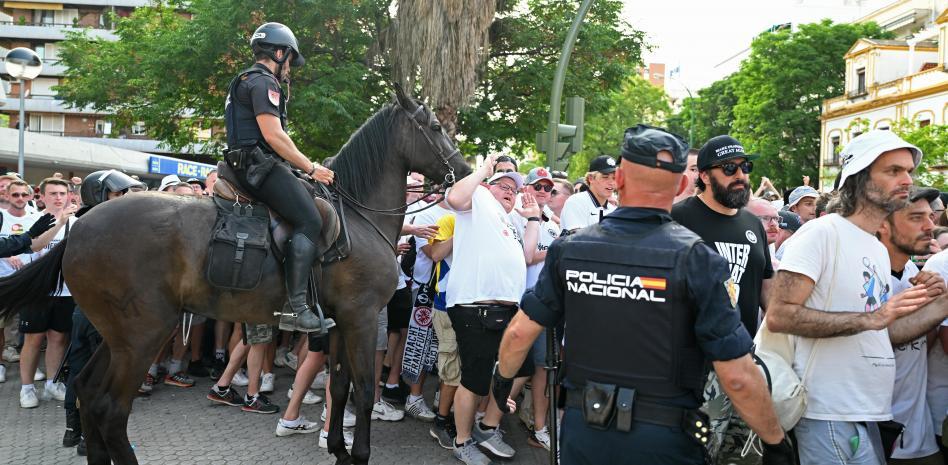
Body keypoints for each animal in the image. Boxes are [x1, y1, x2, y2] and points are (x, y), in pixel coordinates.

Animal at [0, 88, 470, 464]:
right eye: (434, 126)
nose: (465, 172)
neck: (356, 215)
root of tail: (79, 226)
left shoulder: (340, 321)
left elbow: (339, 387)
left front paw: (338, 449)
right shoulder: (362, 318)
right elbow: (364, 390)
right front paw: (359, 454)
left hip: (116, 336)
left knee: (86, 389)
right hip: (143, 336)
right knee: (111, 408)